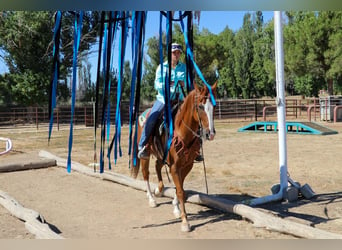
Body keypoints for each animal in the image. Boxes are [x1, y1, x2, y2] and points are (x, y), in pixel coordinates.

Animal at [131, 81, 216, 230]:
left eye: (214, 106)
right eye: (200, 106)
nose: (210, 134)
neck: (182, 131)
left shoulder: (187, 165)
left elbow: (179, 187)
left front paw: (176, 209)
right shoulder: (175, 166)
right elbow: (180, 191)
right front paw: (185, 222)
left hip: (161, 155)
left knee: (157, 166)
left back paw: (159, 190)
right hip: (145, 155)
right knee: (146, 173)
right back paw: (151, 199)